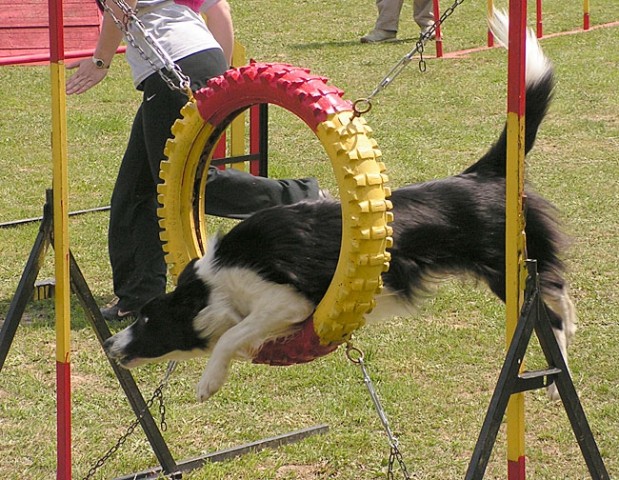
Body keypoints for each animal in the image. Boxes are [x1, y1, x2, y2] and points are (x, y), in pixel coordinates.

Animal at [105, 12, 576, 402]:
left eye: (146, 320)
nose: (109, 345)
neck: (212, 284)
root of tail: (480, 174)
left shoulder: (286, 302)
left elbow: (230, 335)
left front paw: (208, 382)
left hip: (506, 268)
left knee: (547, 314)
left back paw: (556, 383)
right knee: (558, 294)